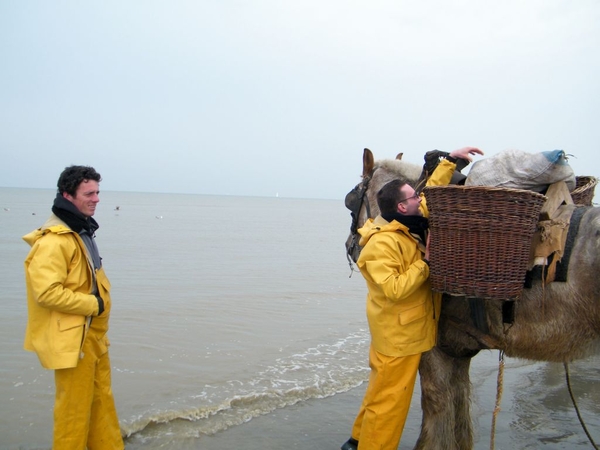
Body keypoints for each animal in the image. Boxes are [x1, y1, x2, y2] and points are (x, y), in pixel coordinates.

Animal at [344, 149, 600, 450]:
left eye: (351, 203)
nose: (351, 245)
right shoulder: (458, 351)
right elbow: (459, 416)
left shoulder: (435, 350)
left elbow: (437, 413)